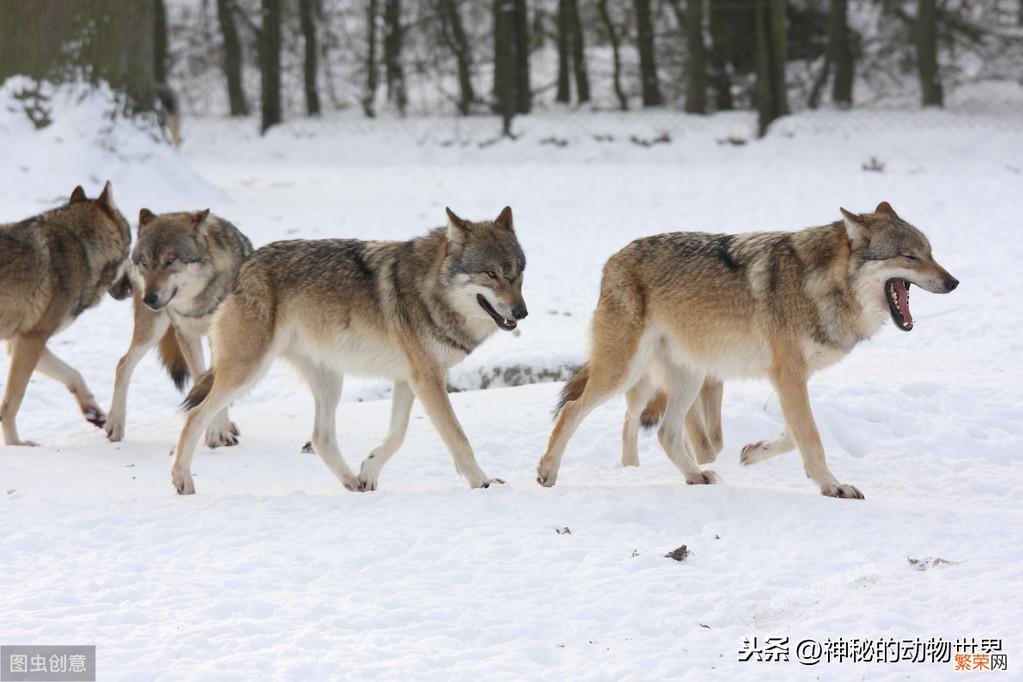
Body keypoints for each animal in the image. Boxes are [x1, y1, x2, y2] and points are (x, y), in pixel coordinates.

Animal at [0, 184, 131, 445]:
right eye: (132, 248)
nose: (133, 288)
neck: (82, 249)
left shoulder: (21, 342)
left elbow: (73, 374)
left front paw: (93, 412)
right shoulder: (31, 341)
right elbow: (11, 405)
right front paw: (16, 445)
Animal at [104, 210, 253, 445]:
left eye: (170, 260)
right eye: (144, 261)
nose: (149, 298)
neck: (198, 304)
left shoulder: (220, 339)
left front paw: (219, 432)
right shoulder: (186, 335)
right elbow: (202, 382)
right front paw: (216, 433)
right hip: (152, 329)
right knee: (123, 364)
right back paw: (115, 424)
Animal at [167, 205, 527, 492]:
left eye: (518, 274)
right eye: (491, 274)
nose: (522, 312)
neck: (431, 290)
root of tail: (246, 263)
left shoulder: (408, 379)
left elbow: (398, 433)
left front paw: (369, 471)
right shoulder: (427, 379)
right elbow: (458, 437)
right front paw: (482, 482)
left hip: (330, 383)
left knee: (320, 438)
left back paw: (352, 482)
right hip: (248, 372)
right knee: (196, 415)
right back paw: (182, 479)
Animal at [536, 200, 957, 498]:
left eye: (931, 252)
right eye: (909, 257)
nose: (953, 282)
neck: (819, 284)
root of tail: (613, 258)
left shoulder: (789, 379)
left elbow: (795, 433)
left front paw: (753, 452)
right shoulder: (788, 375)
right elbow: (811, 436)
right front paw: (832, 485)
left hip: (688, 376)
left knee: (666, 433)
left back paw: (695, 476)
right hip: (627, 370)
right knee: (573, 409)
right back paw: (547, 472)